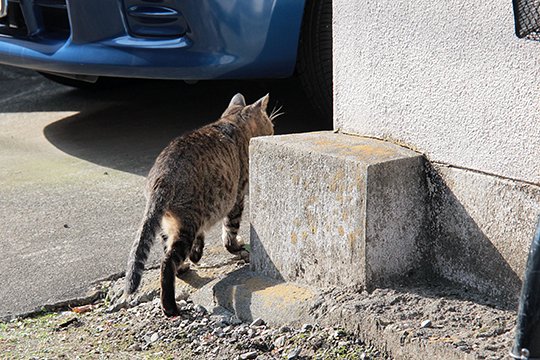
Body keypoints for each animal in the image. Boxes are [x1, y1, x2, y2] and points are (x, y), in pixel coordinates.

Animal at [125, 93, 274, 318]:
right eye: (271, 125)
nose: (274, 131)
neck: (231, 122)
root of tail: (161, 178)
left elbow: (202, 239)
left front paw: (197, 254)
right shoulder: (237, 196)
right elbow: (230, 232)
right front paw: (236, 246)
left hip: (170, 222)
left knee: (169, 250)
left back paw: (184, 267)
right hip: (189, 220)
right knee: (167, 262)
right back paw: (170, 306)